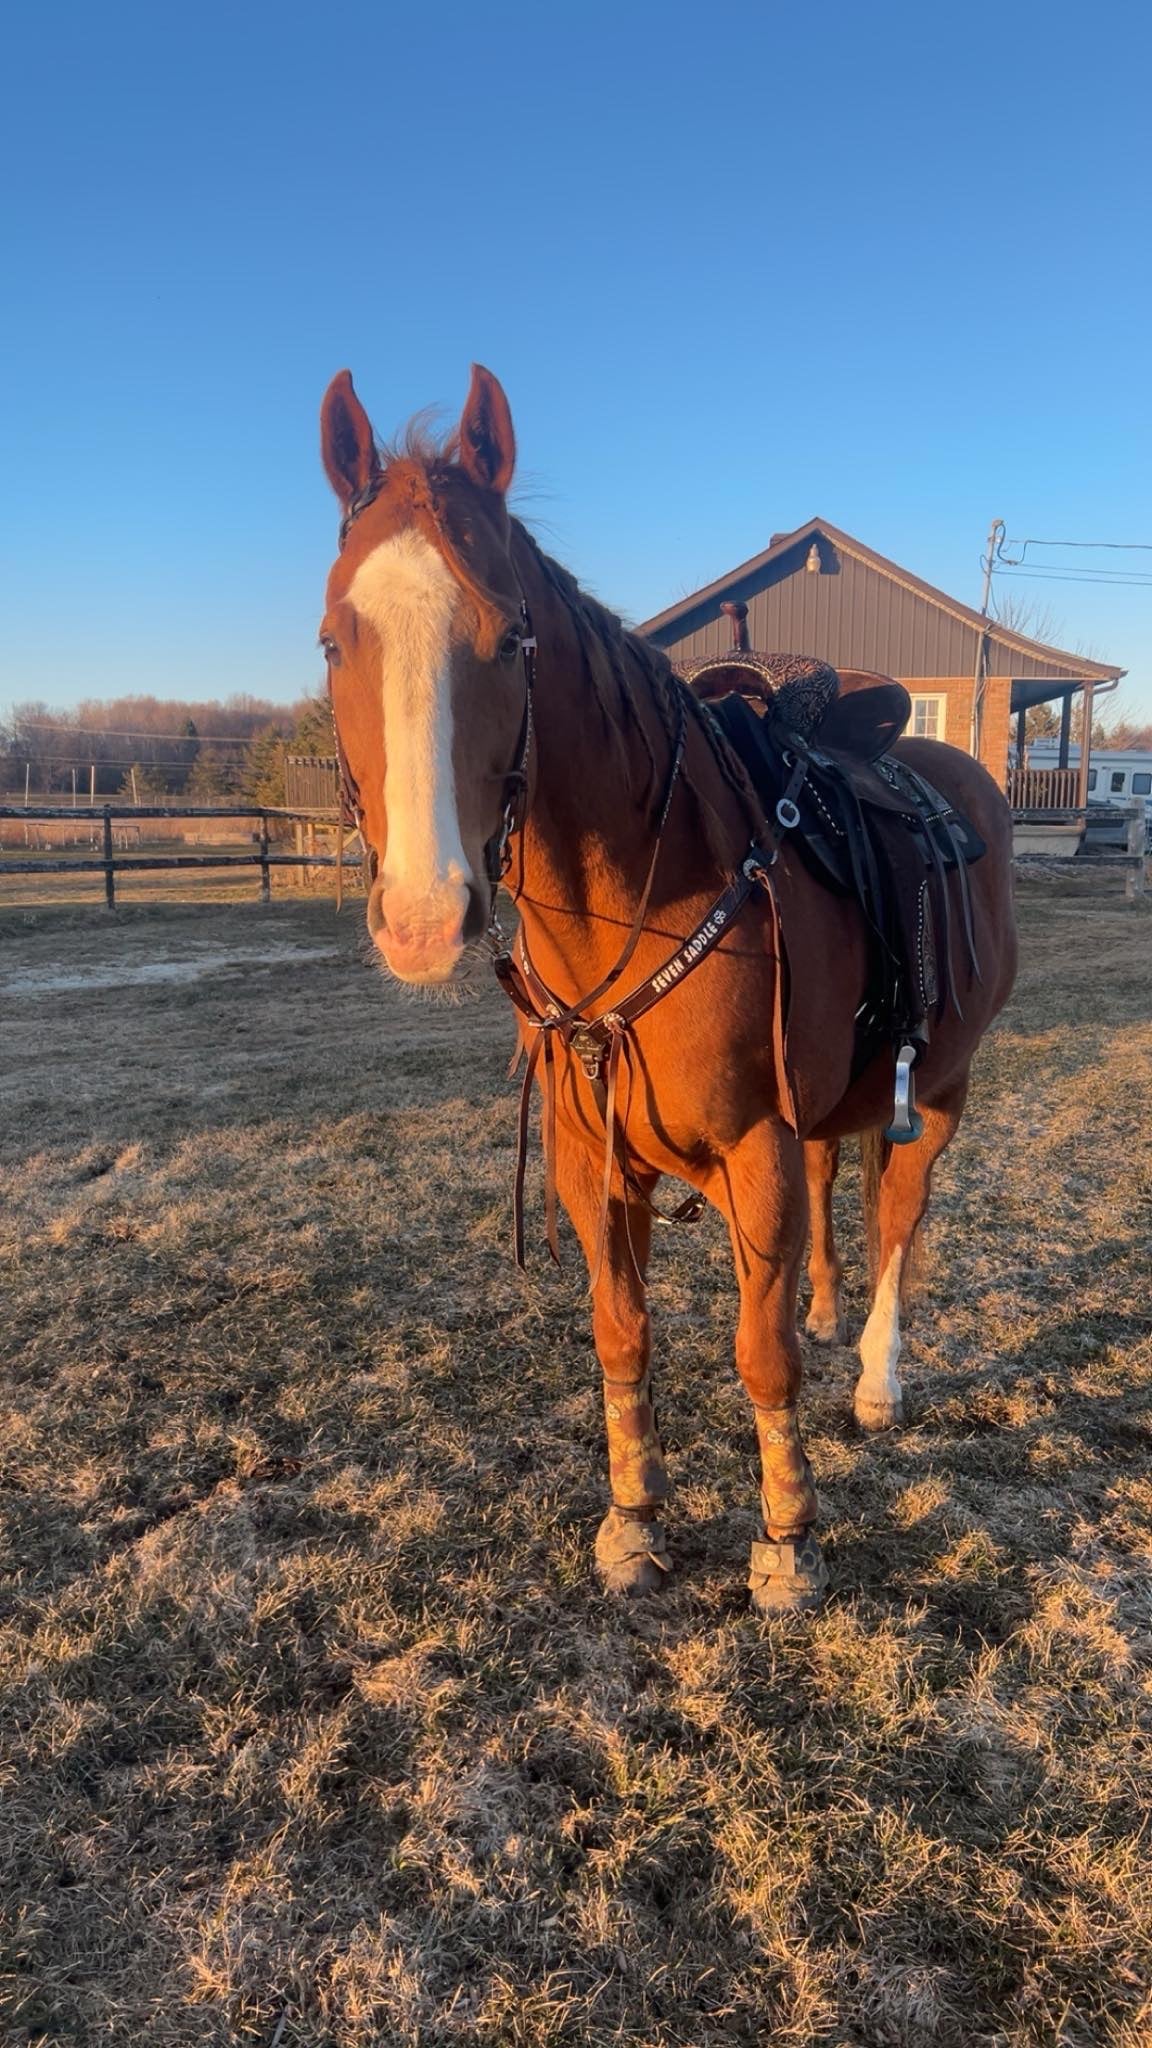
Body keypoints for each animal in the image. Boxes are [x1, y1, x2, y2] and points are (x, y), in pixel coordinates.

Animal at [315, 364, 1012, 1613]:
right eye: (337, 637)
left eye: (509, 635)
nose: (425, 916)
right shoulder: (596, 1162)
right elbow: (623, 1336)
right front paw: (633, 1519)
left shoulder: (755, 1150)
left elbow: (760, 1353)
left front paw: (787, 1539)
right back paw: (829, 1309)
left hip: (939, 1087)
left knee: (899, 1215)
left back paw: (877, 1376)